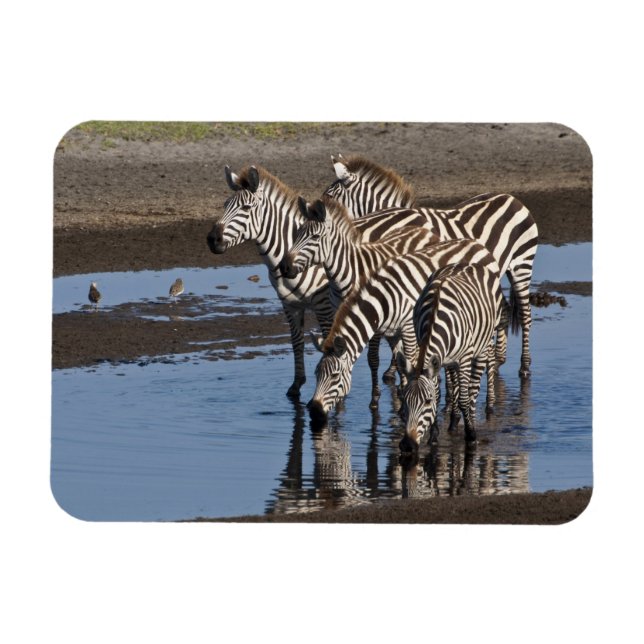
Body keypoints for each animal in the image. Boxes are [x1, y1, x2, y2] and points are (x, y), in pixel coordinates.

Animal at [206, 164, 336, 398]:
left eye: (246, 208)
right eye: (224, 205)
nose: (212, 240)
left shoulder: (324, 306)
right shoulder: (290, 305)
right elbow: (296, 342)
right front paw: (296, 386)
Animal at [279, 196, 440, 407]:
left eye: (314, 237)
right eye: (297, 233)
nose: (284, 267)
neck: (344, 274)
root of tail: (424, 231)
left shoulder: (372, 314)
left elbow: (372, 358)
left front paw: (374, 398)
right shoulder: (339, 313)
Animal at [307, 240, 508, 425]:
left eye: (334, 376)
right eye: (316, 373)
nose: (314, 412)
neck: (384, 300)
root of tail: (480, 245)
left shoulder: (408, 328)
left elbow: (409, 359)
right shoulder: (392, 332)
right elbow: (399, 363)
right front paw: (401, 402)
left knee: (489, 355)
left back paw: (490, 403)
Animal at [324, 154, 538, 379]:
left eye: (329, 196)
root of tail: (511, 198)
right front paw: (395, 368)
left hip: (522, 263)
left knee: (525, 314)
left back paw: (524, 366)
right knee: (503, 309)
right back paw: (498, 359)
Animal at [396, 262, 505, 453]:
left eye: (427, 401)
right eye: (404, 400)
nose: (407, 445)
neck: (434, 315)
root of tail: (467, 264)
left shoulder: (465, 358)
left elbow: (463, 399)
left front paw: (471, 435)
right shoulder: (435, 358)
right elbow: (439, 392)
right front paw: (433, 436)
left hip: (483, 343)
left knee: (474, 387)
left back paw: (478, 414)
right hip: (449, 360)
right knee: (454, 384)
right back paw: (454, 421)